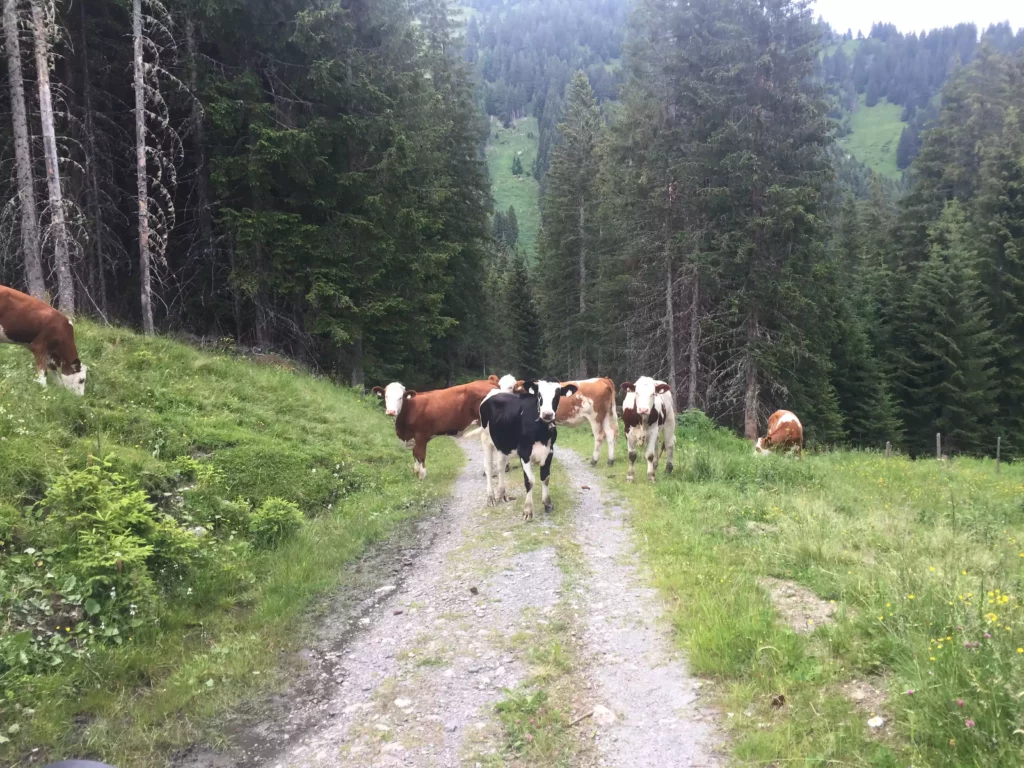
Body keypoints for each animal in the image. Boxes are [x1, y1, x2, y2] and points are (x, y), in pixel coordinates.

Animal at [477, 379, 579, 521]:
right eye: (539, 395)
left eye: (557, 395)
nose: (547, 414)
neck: (541, 432)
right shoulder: (524, 453)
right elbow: (530, 481)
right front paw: (528, 510)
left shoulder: (549, 451)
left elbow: (545, 478)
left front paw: (547, 504)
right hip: (485, 438)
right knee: (488, 468)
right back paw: (490, 498)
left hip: (502, 444)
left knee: (501, 466)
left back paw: (502, 494)